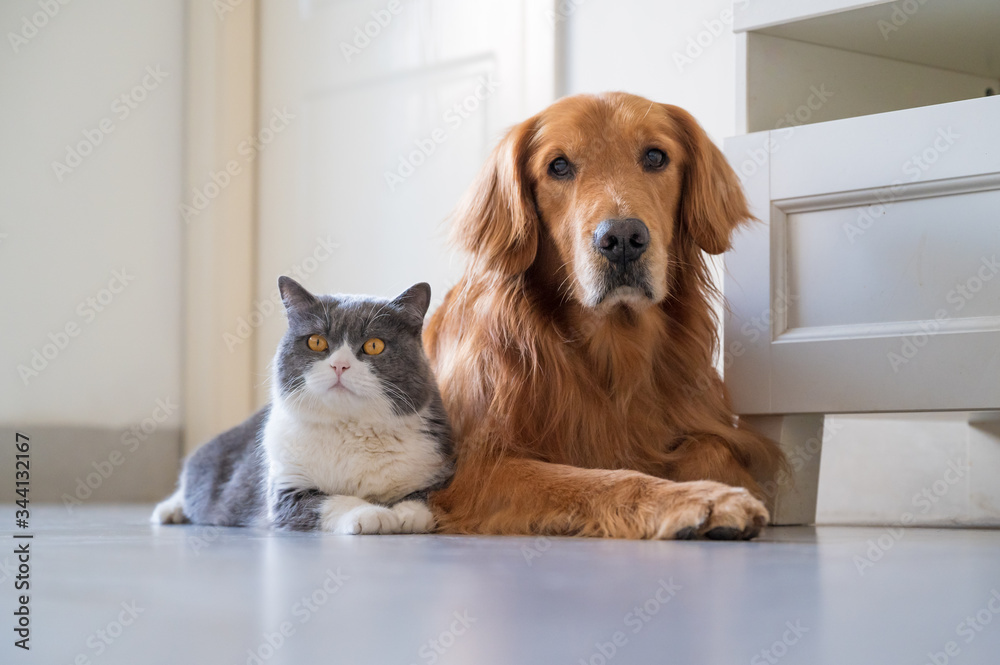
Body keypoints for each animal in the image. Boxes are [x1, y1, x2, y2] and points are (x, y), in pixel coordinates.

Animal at [151, 276, 454, 536]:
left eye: (374, 345)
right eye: (316, 341)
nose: (339, 365)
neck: (351, 428)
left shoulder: (437, 471)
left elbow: (424, 500)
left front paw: (405, 514)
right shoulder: (286, 489)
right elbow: (332, 500)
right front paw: (373, 514)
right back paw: (168, 510)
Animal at [422, 92, 780, 540]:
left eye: (656, 156)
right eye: (558, 166)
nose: (623, 239)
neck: (614, 344)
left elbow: (712, 448)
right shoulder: (476, 468)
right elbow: (601, 479)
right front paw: (699, 498)